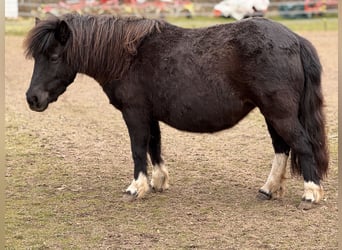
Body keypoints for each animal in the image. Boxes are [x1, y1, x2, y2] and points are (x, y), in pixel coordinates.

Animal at [24, 13, 328, 209]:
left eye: (54, 56)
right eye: (36, 56)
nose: (32, 98)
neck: (128, 56)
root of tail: (294, 38)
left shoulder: (134, 112)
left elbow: (138, 149)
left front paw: (136, 188)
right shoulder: (149, 114)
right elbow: (154, 146)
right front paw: (158, 182)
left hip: (279, 113)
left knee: (301, 145)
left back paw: (310, 194)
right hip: (270, 113)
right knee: (282, 148)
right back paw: (268, 189)